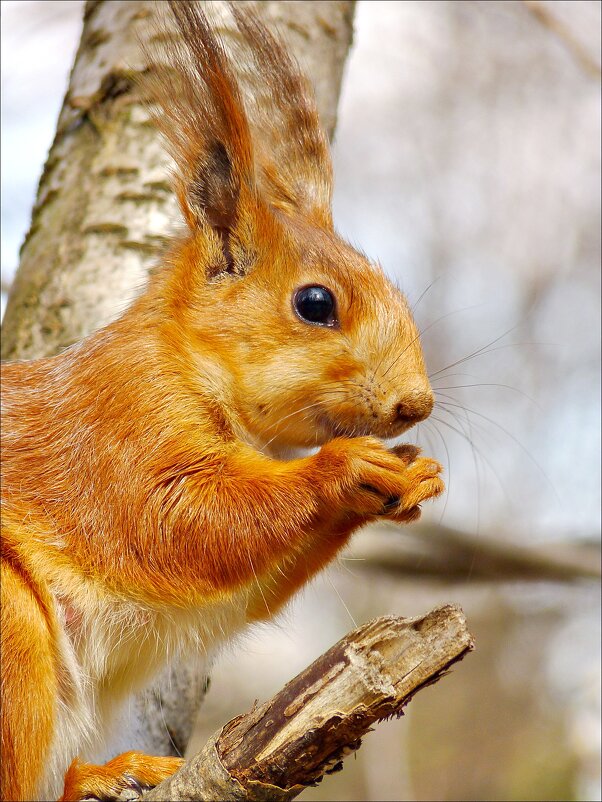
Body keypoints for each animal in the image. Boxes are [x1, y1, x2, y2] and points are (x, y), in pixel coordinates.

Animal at [0, 3, 440, 796]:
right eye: (316, 303)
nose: (415, 405)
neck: (185, 361)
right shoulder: (117, 425)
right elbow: (178, 522)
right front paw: (339, 470)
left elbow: (242, 589)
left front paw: (415, 475)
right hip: (7, 629)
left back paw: (106, 771)